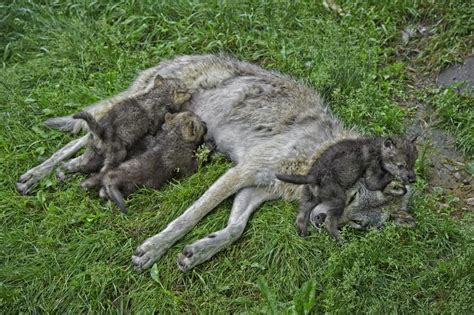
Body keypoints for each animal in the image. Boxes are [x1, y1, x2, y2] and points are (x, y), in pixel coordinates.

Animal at [15, 53, 414, 272]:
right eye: (350, 197)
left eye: (355, 223)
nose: (319, 223)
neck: (317, 154)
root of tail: (182, 55)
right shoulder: (241, 172)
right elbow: (190, 216)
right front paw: (154, 249)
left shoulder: (257, 189)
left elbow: (235, 229)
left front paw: (197, 252)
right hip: (138, 110)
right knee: (82, 136)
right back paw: (36, 175)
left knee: (88, 138)